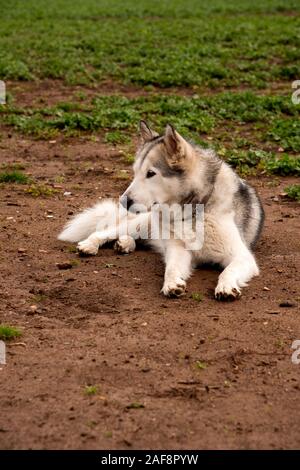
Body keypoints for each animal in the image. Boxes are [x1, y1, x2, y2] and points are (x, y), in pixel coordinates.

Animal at [58, 121, 262, 302]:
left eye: (150, 173)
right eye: (135, 172)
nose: (123, 201)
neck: (191, 212)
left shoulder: (242, 256)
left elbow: (228, 271)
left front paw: (226, 287)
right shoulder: (179, 250)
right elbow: (171, 269)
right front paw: (171, 284)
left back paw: (125, 244)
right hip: (140, 223)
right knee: (105, 232)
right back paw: (91, 244)